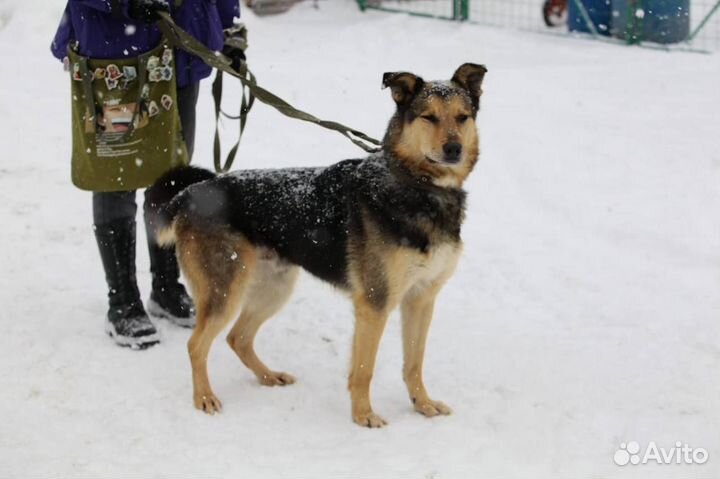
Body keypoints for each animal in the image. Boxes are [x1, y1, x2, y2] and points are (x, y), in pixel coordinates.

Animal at [144, 62, 486, 428]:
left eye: (462, 117)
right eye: (429, 117)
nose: (454, 149)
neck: (418, 185)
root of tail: (189, 194)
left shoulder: (421, 299)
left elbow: (414, 362)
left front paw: (422, 404)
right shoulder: (375, 303)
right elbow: (364, 369)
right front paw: (363, 415)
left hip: (274, 286)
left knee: (238, 338)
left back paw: (268, 376)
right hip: (226, 289)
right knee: (196, 345)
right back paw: (204, 398)